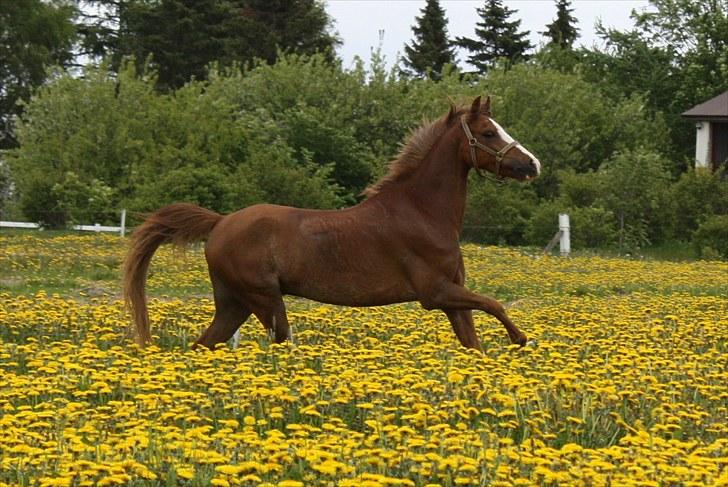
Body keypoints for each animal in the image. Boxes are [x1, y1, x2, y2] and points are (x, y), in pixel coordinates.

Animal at [122, 97, 540, 352]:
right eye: (488, 133)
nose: (532, 164)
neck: (421, 212)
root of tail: (221, 222)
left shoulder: (453, 296)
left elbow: (475, 342)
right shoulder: (435, 293)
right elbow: (494, 303)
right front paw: (521, 339)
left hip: (234, 303)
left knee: (203, 345)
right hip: (264, 299)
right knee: (278, 342)